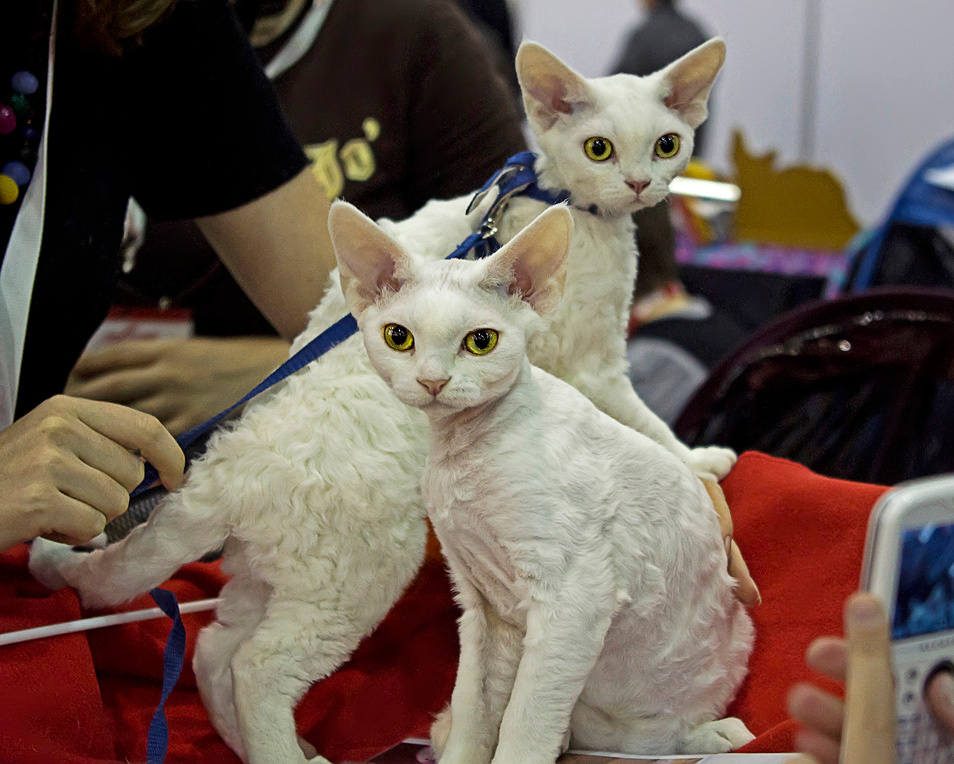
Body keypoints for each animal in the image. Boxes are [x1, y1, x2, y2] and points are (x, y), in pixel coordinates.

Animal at [333, 199, 755, 762]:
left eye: (480, 342)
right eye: (398, 337)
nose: (432, 381)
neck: (467, 455)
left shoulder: (575, 597)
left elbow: (525, 722)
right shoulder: (482, 604)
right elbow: (473, 709)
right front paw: (462, 746)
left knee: (657, 735)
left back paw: (719, 734)